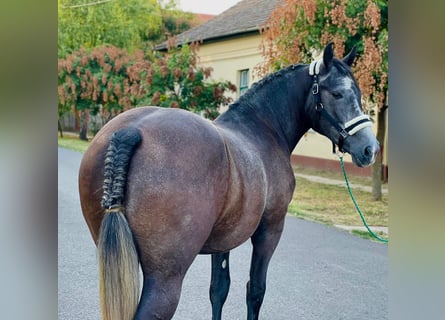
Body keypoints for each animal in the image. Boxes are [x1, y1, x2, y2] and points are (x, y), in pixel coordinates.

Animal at [78, 43, 376, 320]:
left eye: (359, 94)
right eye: (336, 93)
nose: (370, 149)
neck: (262, 128)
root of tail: (130, 131)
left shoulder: (223, 240)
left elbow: (218, 289)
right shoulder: (269, 230)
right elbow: (255, 290)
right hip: (165, 278)